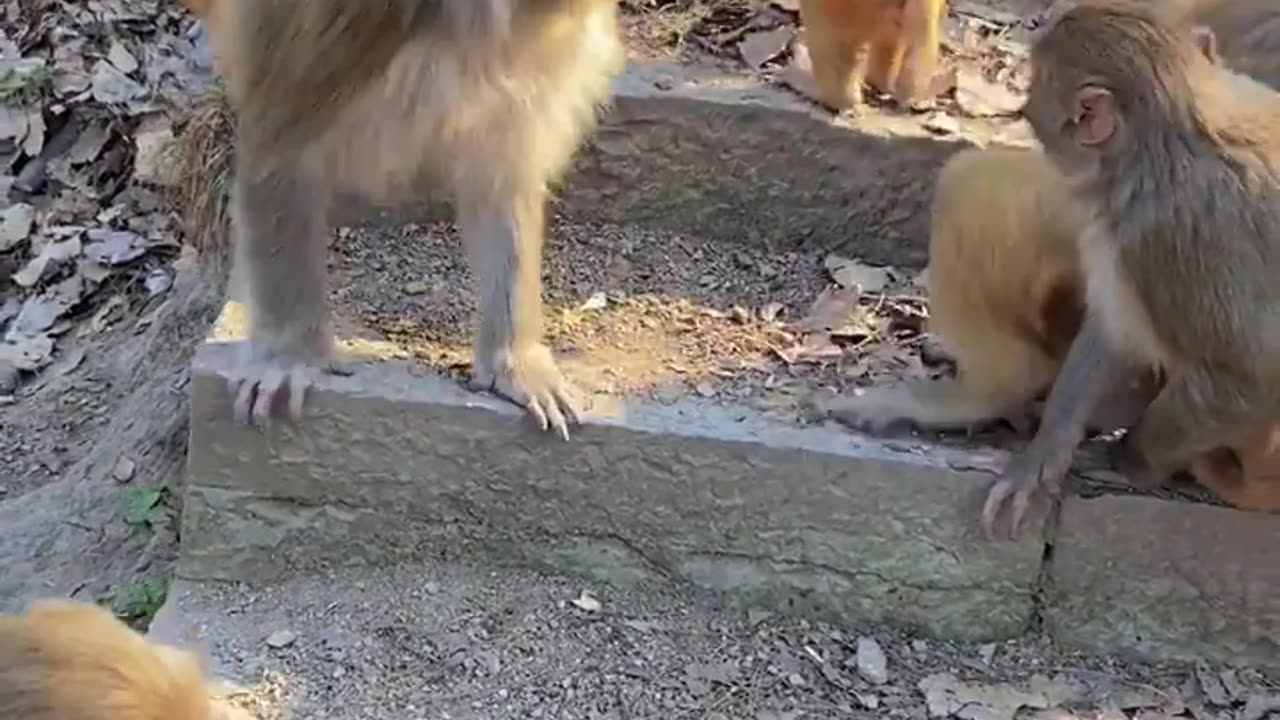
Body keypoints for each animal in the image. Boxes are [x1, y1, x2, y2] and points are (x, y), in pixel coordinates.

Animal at [980, 0, 1280, 539]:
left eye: (1038, 82)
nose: (1025, 104)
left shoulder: (1161, 233)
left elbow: (1249, 377)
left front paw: (1127, 460)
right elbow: (1116, 330)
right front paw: (1046, 451)